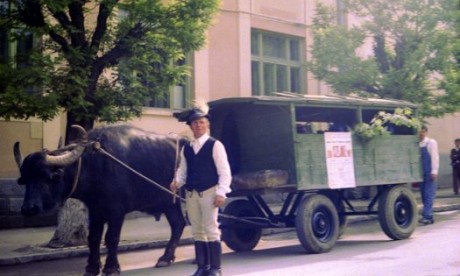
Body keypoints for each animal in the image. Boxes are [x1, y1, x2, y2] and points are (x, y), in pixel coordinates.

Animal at [14, 124, 187, 276]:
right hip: (170, 204)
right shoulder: (95, 210)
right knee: (178, 224)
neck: (95, 166)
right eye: (25, 179)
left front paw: (111, 268)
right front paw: (92, 268)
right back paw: (166, 258)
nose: (29, 208)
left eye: (49, 176)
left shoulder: (117, 211)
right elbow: (94, 238)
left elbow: (111, 238)